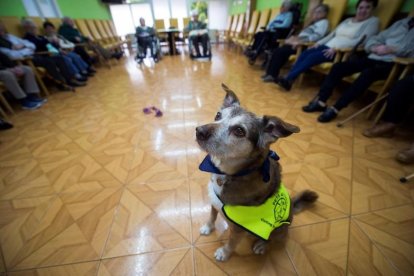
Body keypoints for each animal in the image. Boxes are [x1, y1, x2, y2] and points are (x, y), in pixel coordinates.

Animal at [196, 83, 318, 260]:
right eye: (218, 115)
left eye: (239, 131)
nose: (199, 131)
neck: (232, 174)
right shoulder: (214, 202)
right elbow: (212, 215)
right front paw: (208, 227)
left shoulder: (238, 229)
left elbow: (231, 243)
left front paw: (224, 253)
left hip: (279, 230)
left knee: (272, 238)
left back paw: (261, 245)